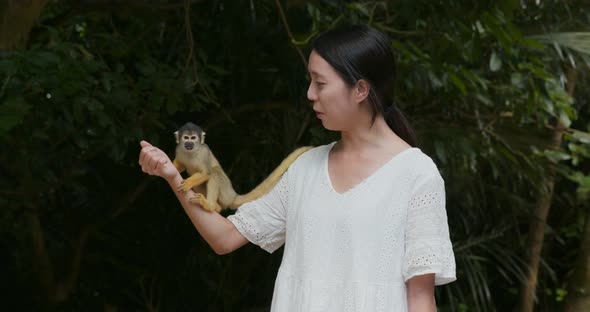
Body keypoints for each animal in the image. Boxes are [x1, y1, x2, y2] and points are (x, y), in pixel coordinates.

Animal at [171, 122, 314, 212]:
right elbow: (180, 165)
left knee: (215, 172)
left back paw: (210, 206)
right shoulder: (178, 149)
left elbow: (206, 173)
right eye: (186, 138)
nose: (189, 144)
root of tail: (233, 195)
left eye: (193, 138)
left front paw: (188, 183)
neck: (191, 152)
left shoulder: (204, 153)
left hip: (225, 192)